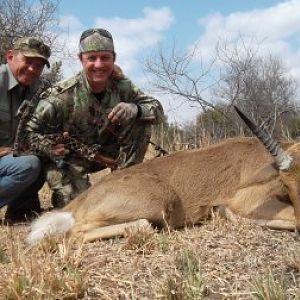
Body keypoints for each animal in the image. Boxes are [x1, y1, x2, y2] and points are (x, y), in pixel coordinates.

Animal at [27, 107, 298, 244]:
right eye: (286, 183)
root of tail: (81, 200)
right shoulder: (246, 201)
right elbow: (294, 220)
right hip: (158, 204)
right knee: (76, 232)